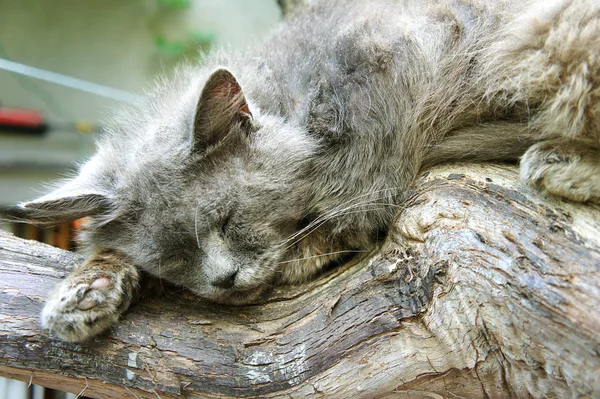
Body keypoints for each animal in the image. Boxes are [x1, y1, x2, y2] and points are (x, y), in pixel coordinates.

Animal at [18, 0, 600, 344]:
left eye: (227, 219)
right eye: (175, 256)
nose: (222, 279)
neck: (294, 95)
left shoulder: (392, 58)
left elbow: (358, 186)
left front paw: (310, 248)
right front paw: (84, 291)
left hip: (545, 36)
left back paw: (561, 164)